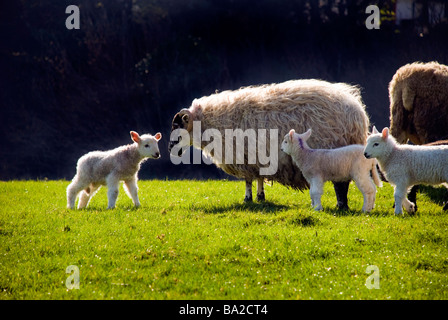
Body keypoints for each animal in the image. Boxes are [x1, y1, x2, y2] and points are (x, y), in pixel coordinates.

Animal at [166, 79, 370, 210]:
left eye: (177, 126)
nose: (169, 149)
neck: (213, 121)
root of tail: (357, 110)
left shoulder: (245, 157)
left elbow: (248, 180)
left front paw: (248, 199)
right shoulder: (256, 157)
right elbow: (258, 178)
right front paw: (260, 197)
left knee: (341, 185)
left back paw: (341, 206)